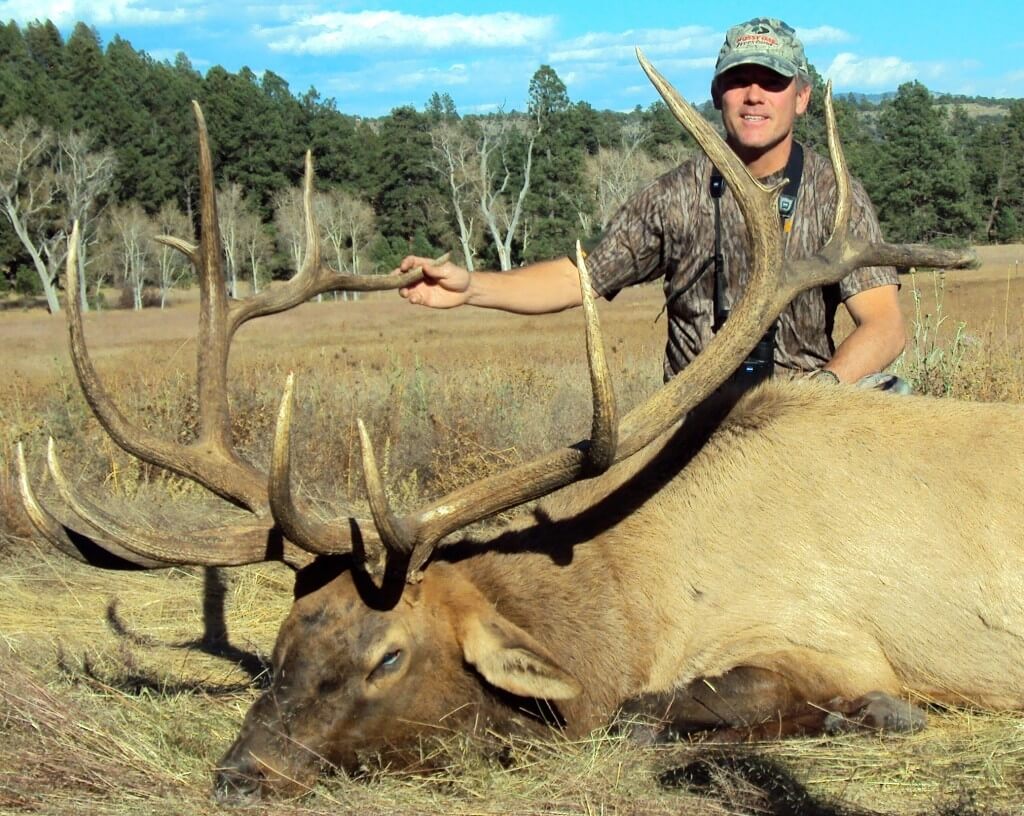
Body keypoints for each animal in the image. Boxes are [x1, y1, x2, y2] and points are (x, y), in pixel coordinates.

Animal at [15, 50, 1021, 803]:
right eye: (284, 641)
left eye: (389, 655)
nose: (240, 776)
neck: (630, 606)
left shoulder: (826, 638)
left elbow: (647, 711)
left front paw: (874, 717)